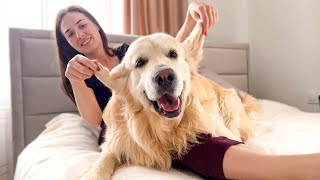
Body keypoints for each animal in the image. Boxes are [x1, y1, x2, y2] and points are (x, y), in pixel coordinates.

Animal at [80, 21, 260, 179]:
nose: (165, 76)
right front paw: (93, 175)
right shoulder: (117, 141)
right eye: (139, 62)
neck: (164, 127)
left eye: (173, 54)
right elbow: (102, 162)